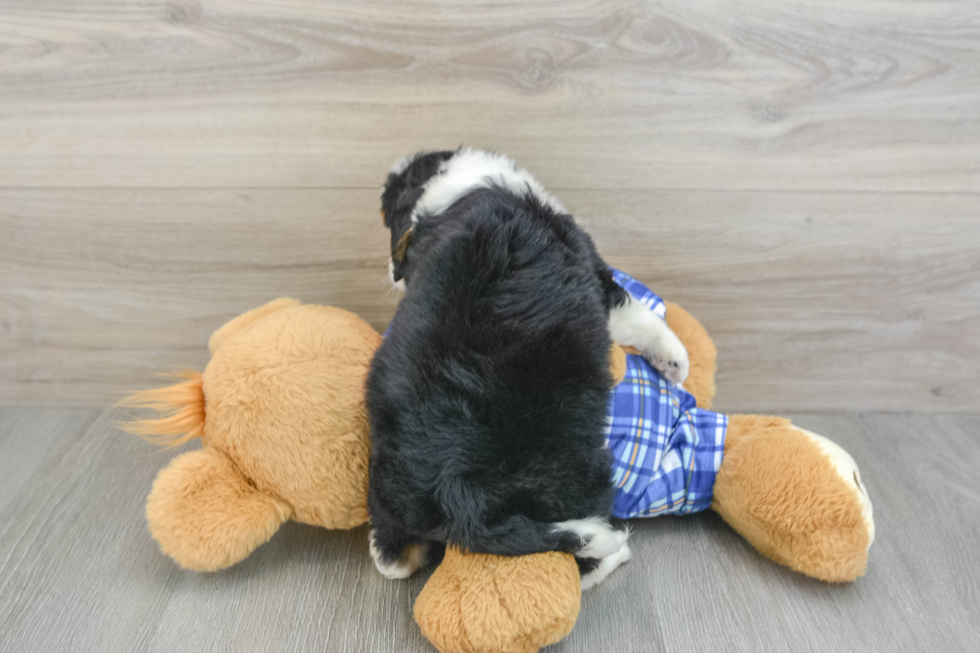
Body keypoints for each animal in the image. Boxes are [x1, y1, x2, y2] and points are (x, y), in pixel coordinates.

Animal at [364, 150, 684, 588]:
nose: (388, 271)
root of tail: (456, 492)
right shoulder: (594, 271)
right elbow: (636, 314)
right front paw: (676, 363)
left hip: (391, 493)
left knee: (393, 557)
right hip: (570, 473)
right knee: (575, 556)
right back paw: (613, 551)